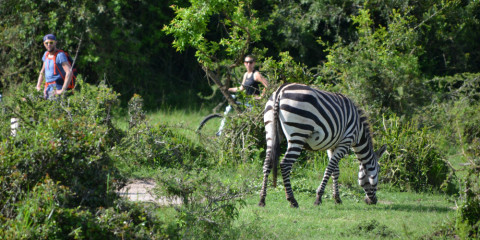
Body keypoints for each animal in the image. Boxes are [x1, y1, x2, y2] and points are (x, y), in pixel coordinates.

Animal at [258, 83, 386, 207]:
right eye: (379, 170)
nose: (372, 201)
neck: (358, 131)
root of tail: (280, 91)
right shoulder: (345, 142)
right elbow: (330, 168)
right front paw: (319, 198)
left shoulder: (332, 146)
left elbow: (335, 171)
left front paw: (337, 198)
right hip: (298, 133)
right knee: (285, 164)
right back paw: (292, 200)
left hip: (271, 129)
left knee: (267, 163)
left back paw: (262, 199)